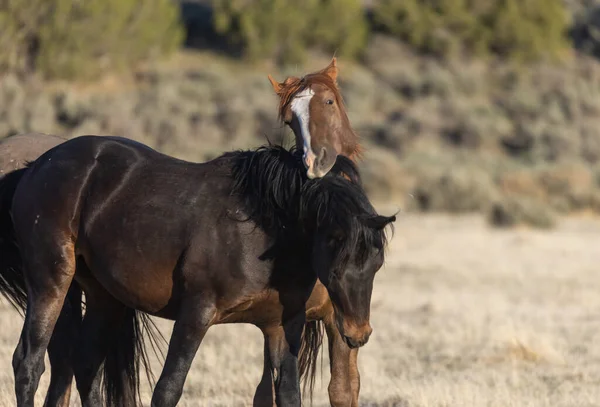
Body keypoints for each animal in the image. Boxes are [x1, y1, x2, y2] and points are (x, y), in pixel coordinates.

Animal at [0, 135, 394, 406]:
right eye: (338, 266)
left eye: (377, 266)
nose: (358, 334)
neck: (263, 229)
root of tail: (37, 165)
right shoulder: (196, 314)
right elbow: (167, 390)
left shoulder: (283, 326)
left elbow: (287, 394)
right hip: (51, 282)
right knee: (29, 363)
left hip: (103, 296)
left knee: (85, 365)